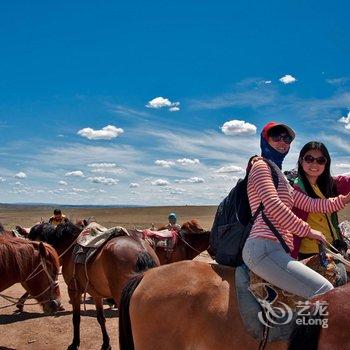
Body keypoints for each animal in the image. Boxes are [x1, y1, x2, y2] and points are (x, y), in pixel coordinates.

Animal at [29, 221, 159, 350]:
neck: (69, 249)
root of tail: (141, 251)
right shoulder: (96, 294)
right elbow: (100, 318)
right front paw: (106, 344)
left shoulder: (73, 291)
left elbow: (76, 318)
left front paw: (75, 343)